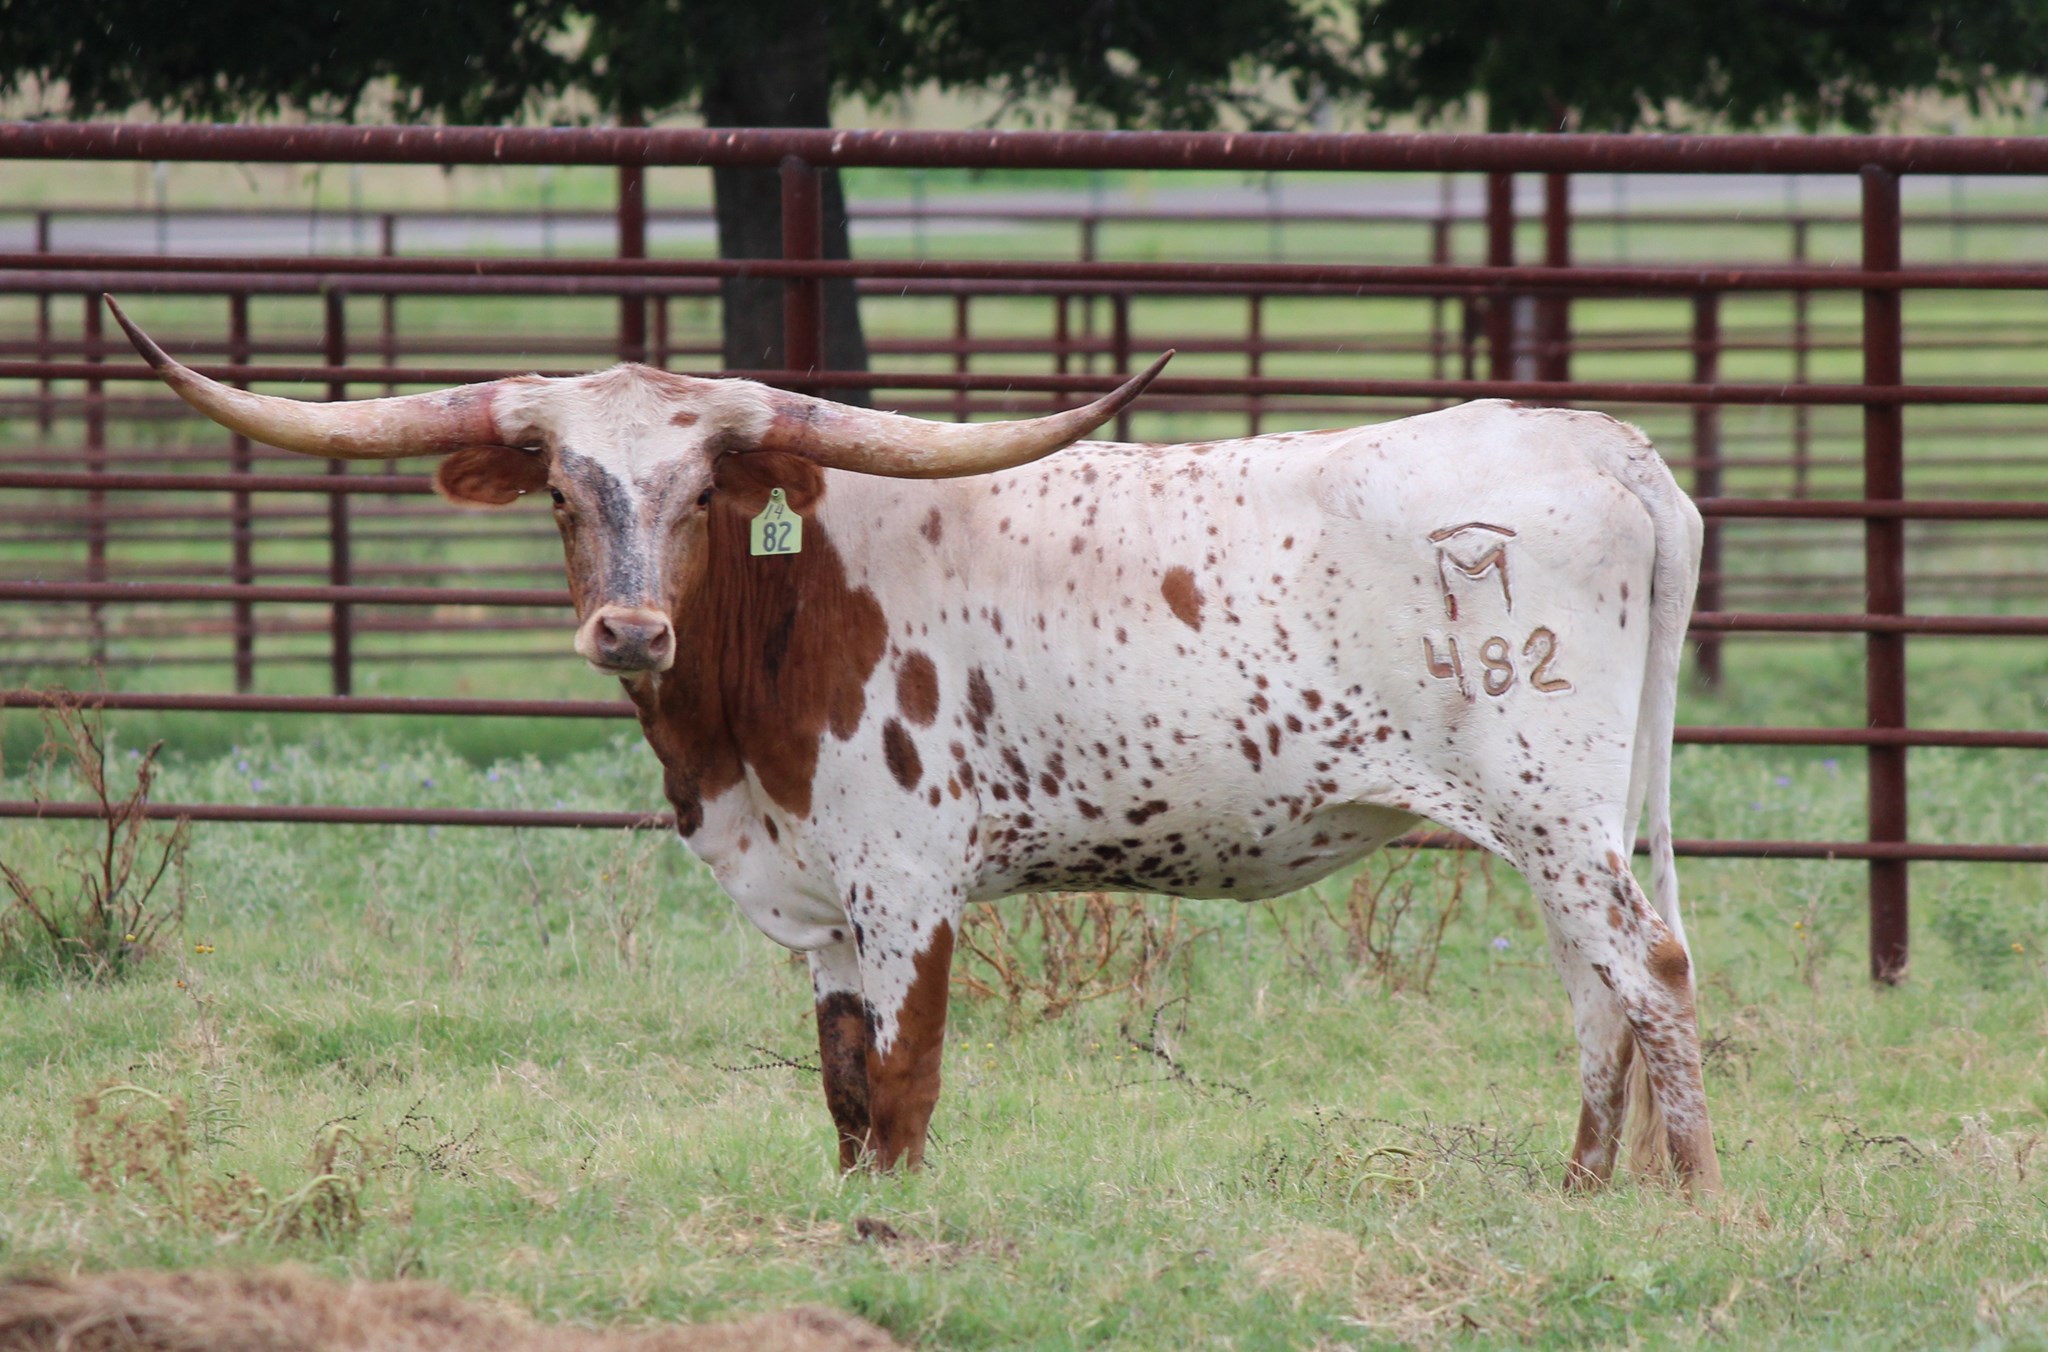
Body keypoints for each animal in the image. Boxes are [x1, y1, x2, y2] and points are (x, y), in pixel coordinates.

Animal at [107, 295, 1720, 1195]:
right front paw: (849, 1222)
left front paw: (902, 1232)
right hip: (1548, 821)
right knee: (1594, 989)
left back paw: (1690, 1197)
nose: (627, 631)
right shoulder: (821, 902)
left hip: (1553, 802)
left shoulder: (908, 879)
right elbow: (838, 1088)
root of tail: (1609, 447)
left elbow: (903, 1082)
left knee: (1646, 966)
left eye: (704, 491)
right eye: (563, 492)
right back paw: (1582, 1193)